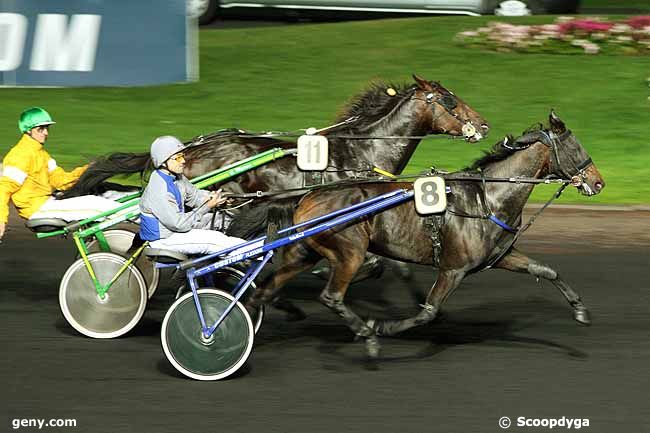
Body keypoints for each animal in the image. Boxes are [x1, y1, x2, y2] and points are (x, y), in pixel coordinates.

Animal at [237, 111, 604, 358]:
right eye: (574, 147)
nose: (598, 182)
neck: (487, 198)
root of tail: (308, 195)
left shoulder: (500, 257)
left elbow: (546, 270)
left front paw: (580, 310)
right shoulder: (453, 269)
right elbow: (428, 312)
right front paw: (382, 327)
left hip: (304, 252)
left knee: (265, 290)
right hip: (349, 251)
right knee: (331, 296)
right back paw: (367, 335)